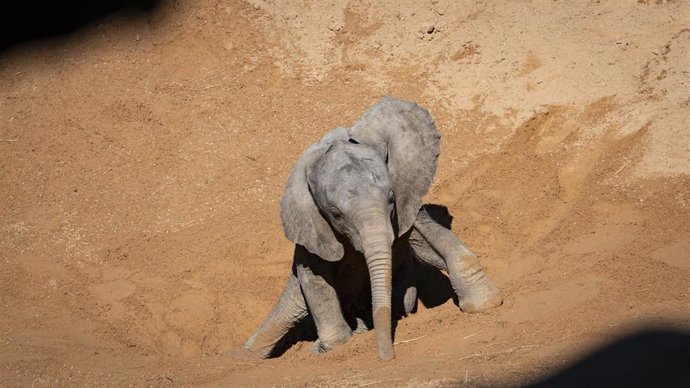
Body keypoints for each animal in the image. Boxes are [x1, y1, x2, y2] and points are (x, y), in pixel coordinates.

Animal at [242, 97, 500, 360]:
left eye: (391, 198)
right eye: (336, 214)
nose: (387, 357)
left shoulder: (406, 201)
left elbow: (426, 240)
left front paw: (483, 303)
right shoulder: (312, 230)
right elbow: (314, 279)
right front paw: (328, 347)